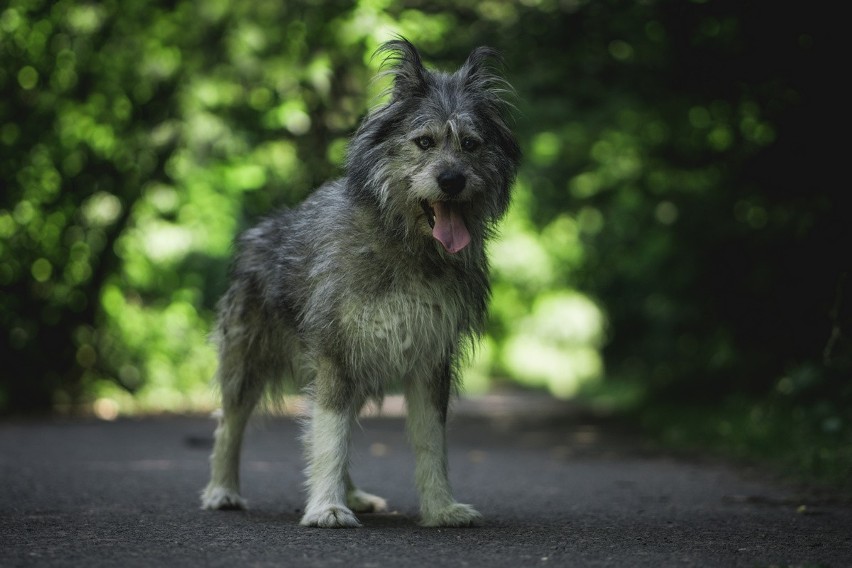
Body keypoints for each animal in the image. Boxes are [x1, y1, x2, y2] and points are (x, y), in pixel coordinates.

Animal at [201, 38, 520, 528]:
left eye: (470, 144)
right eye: (424, 141)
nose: (452, 180)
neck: (406, 246)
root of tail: (261, 230)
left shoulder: (430, 359)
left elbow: (431, 443)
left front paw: (440, 508)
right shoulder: (335, 351)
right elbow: (329, 437)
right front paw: (327, 508)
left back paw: (352, 495)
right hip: (246, 359)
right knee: (230, 423)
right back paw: (222, 490)